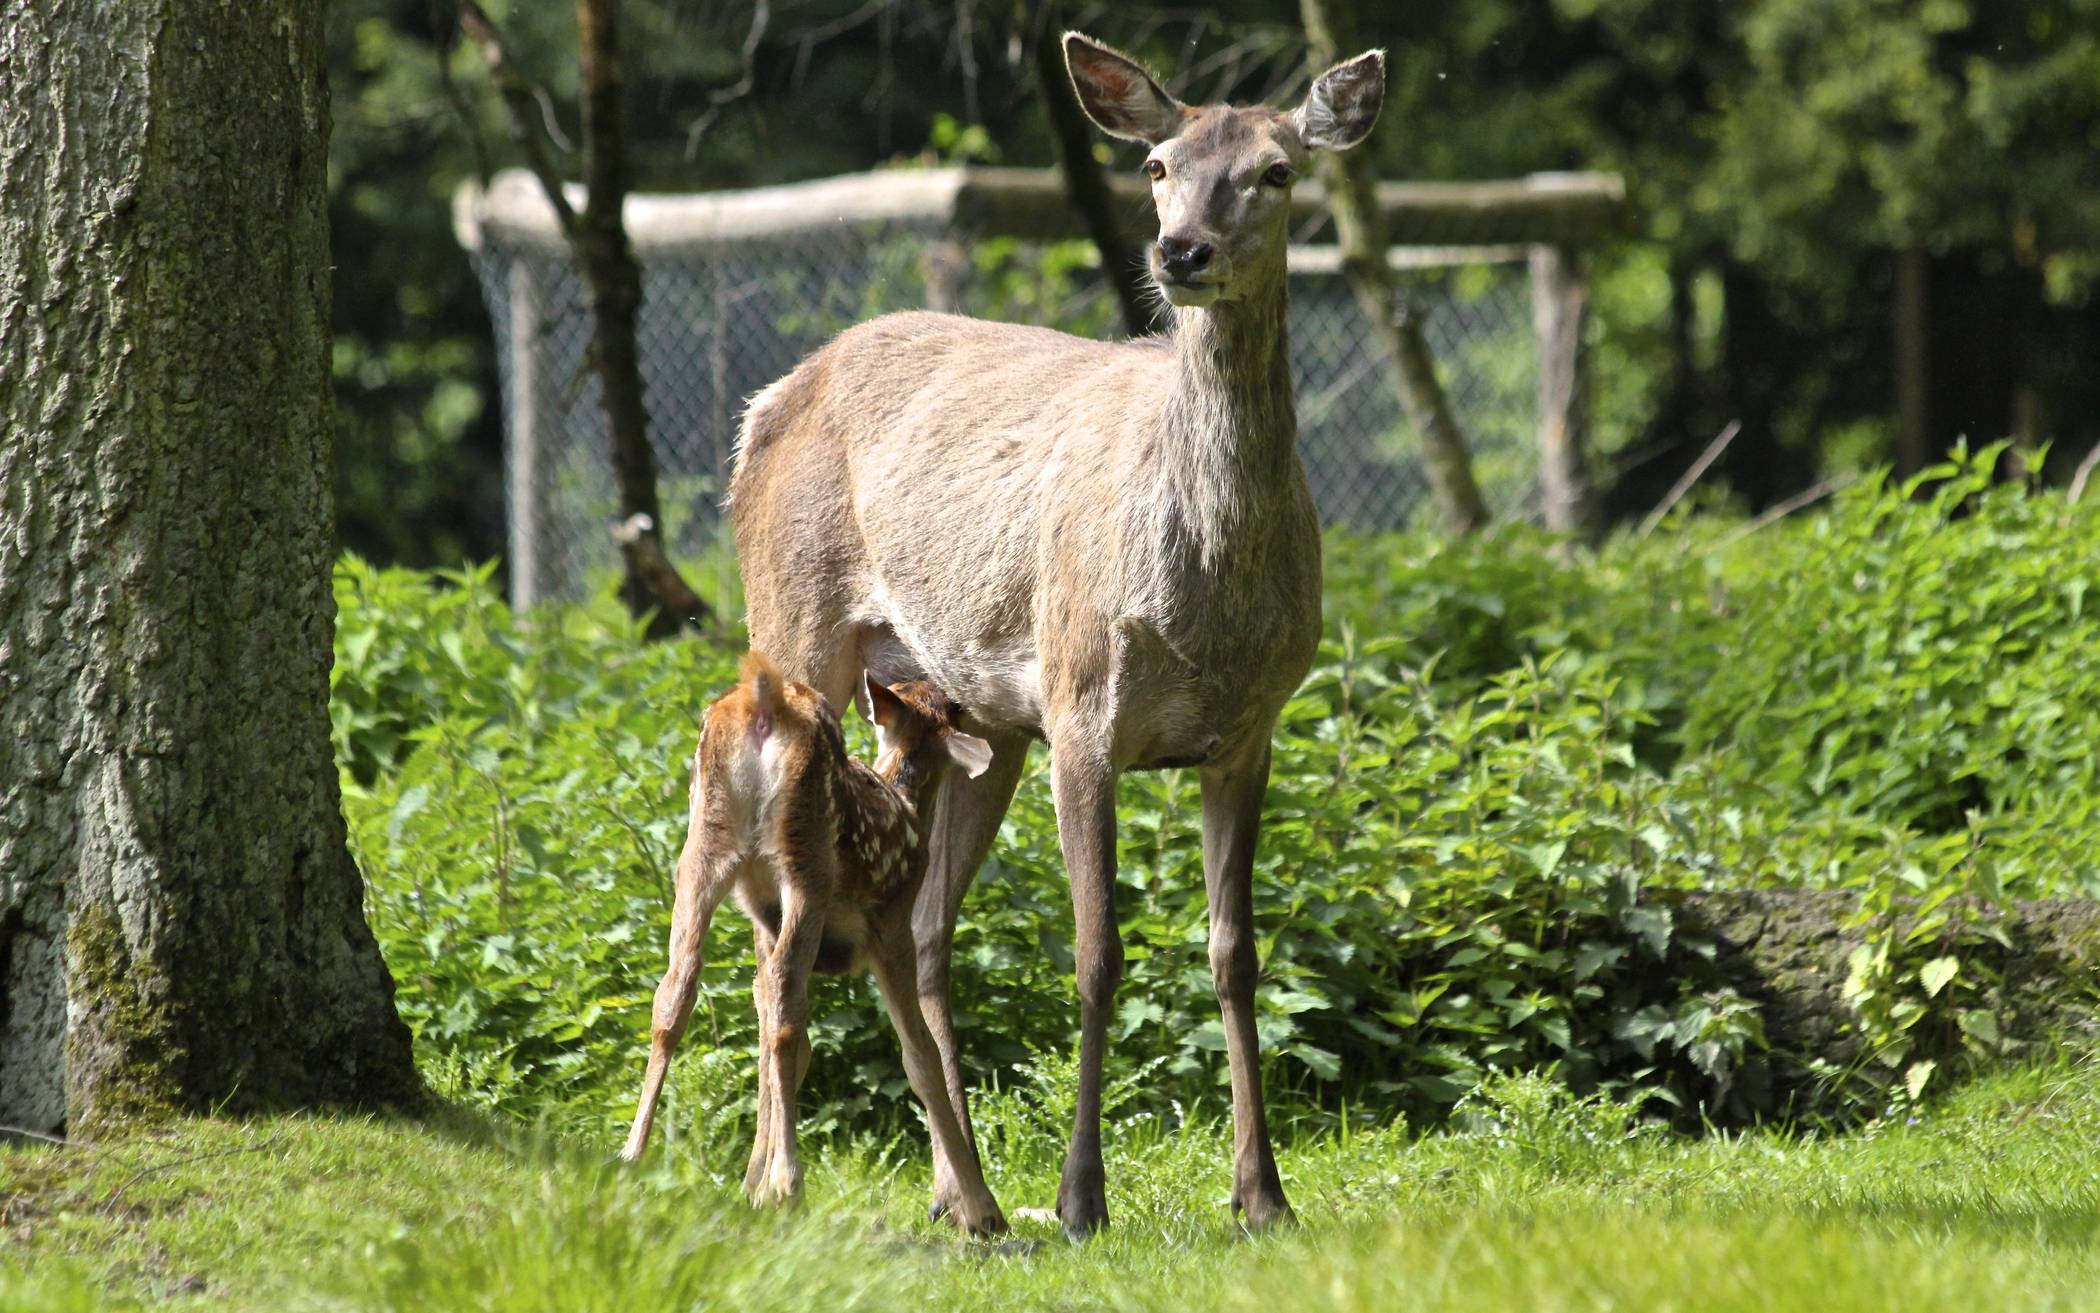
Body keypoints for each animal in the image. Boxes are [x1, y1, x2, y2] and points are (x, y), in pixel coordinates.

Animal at [730, 33, 1385, 1235]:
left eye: (1277, 171)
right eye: (1159, 165)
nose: (1182, 250)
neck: (1203, 599)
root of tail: (764, 406)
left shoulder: (1250, 731)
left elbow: (1236, 954)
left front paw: (1263, 1193)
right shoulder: (1083, 712)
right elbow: (1096, 955)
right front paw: (1084, 1196)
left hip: (976, 717)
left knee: (927, 933)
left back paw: (966, 1191)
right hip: (796, 626)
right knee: (782, 928)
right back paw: (786, 1174)